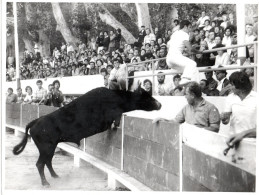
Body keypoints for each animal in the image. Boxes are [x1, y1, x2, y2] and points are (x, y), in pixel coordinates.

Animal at [13, 87, 162, 186]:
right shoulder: (110, 116)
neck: (115, 97)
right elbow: (117, 116)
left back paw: (55, 176)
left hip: (50, 147)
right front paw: (116, 125)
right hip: (46, 147)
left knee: (47, 162)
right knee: (40, 163)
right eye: (148, 97)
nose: (160, 104)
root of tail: (35, 121)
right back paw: (45, 183)